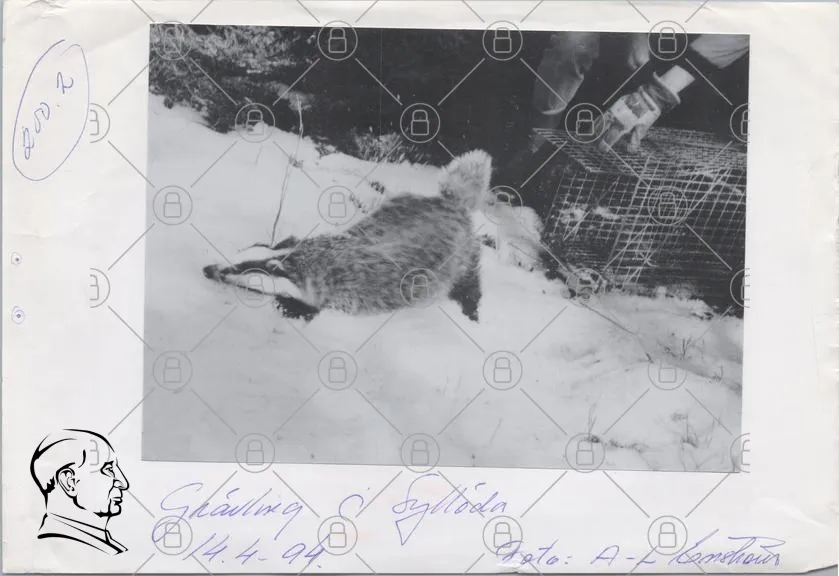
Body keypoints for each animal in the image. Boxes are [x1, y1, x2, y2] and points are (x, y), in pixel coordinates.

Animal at [203, 149, 493, 322]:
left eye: (239, 268)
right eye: (238, 255)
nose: (208, 268)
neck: (317, 259)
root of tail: (452, 200)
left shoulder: (348, 294)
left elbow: (310, 310)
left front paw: (287, 306)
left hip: (462, 253)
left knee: (469, 282)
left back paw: (472, 312)